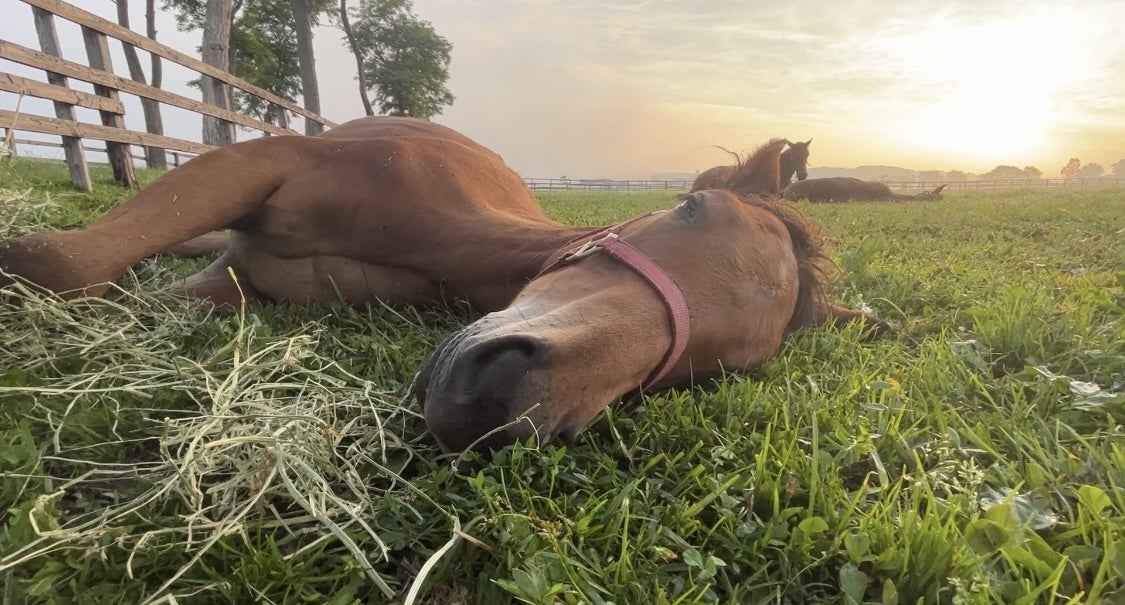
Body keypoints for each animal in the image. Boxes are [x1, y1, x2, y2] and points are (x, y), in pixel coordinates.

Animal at [0, 115, 886, 449]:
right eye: (689, 207)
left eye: (715, 367)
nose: (498, 397)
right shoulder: (264, 161)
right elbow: (60, 264)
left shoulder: (239, 284)